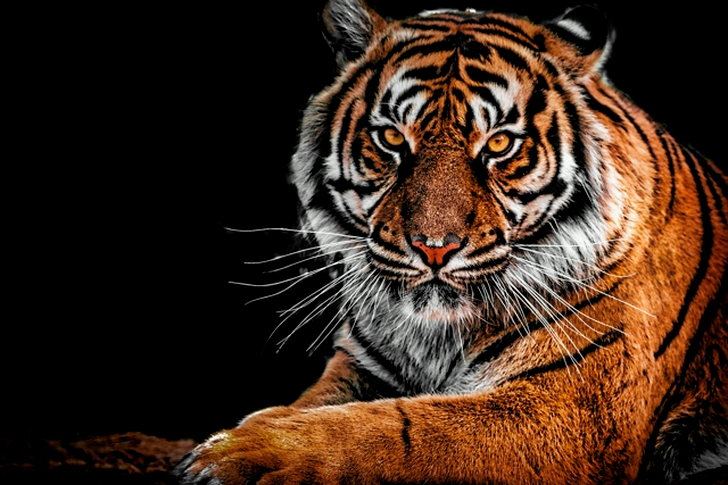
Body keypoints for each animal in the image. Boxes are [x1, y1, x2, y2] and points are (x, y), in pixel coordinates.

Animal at [176, 1, 728, 484]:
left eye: (500, 143)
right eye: (392, 139)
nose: (435, 247)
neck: (435, 336)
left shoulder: (571, 409)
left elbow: (393, 428)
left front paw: (242, 452)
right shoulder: (360, 365)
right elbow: (316, 405)